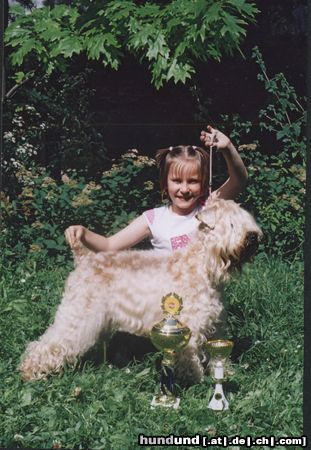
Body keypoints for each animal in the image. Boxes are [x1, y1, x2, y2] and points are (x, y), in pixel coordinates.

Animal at [19, 200, 264, 384]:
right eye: (231, 224)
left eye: (246, 221)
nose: (253, 236)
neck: (201, 266)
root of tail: (84, 258)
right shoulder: (190, 327)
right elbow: (190, 358)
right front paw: (194, 380)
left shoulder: (215, 325)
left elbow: (218, 355)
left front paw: (224, 373)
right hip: (77, 314)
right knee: (49, 343)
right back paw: (31, 371)